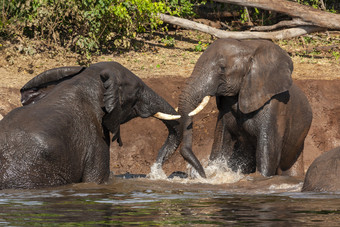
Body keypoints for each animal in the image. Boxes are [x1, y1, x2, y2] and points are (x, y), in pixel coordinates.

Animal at [179, 38, 312, 177]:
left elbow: (268, 157)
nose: (203, 174)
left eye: (222, 68)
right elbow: (220, 146)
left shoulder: (274, 108)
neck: (248, 47)